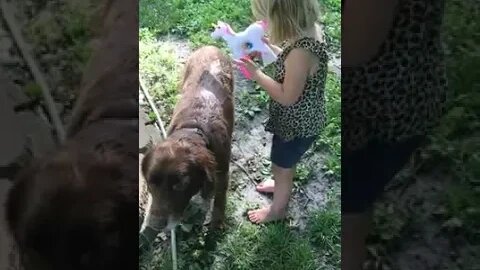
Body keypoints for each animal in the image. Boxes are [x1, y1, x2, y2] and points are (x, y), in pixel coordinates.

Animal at [141, 45, 234, 233]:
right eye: (150, 182)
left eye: (180, 184)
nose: (155, 225)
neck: (194, 130)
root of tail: (210, 45)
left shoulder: (222, 171)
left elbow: (219, 198)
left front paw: (217, 224)